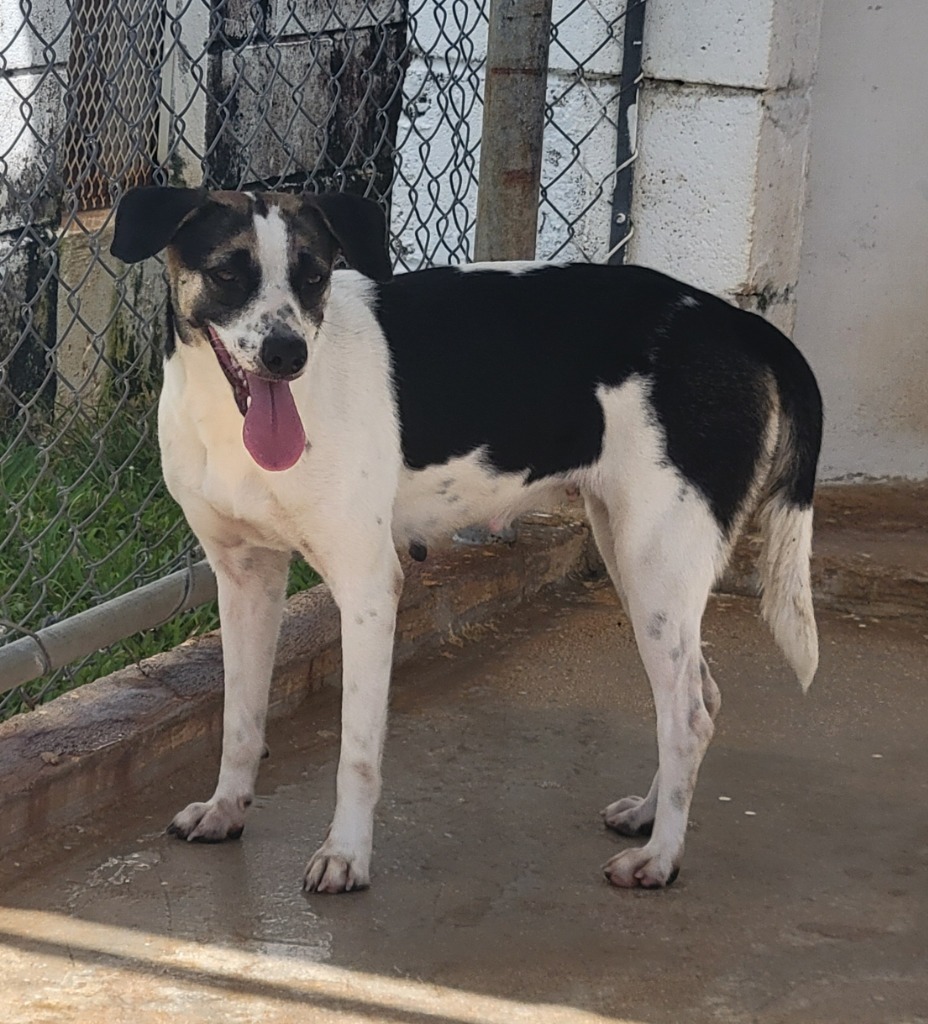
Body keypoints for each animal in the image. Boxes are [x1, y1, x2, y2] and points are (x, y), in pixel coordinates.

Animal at [112, 188, 819, 892]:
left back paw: (662, 857)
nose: (288, 355)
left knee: (688, 716)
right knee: (697, 697)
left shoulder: (368, 588)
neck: (230, 424)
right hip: (631, 555)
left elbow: (356, 751)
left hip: (657, 563)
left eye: (313, 275)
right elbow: (239, 719)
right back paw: (648, 814)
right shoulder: (245, 578)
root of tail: (735, 321)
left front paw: (346, 854)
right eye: (229, 273)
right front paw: (226, 808)